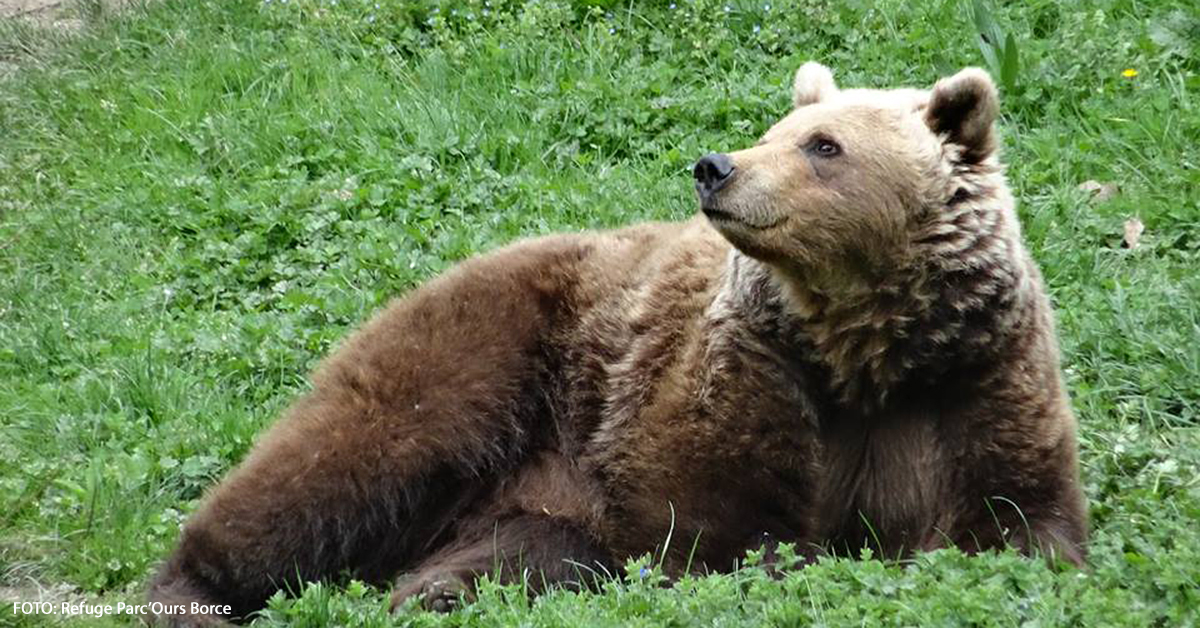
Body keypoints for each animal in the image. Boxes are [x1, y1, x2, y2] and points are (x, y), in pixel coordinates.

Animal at [147, 62, 1089, 624]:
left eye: (825, 145)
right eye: (772, 132)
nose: (717, 167)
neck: (861, 350)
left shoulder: (974, 380)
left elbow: (1023, 523)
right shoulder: (744, 380)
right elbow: (714, 529)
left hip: (541, 485)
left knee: (516, 551)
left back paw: (428, 589)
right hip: (489, 352)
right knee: (339, 461)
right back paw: (193, 586)